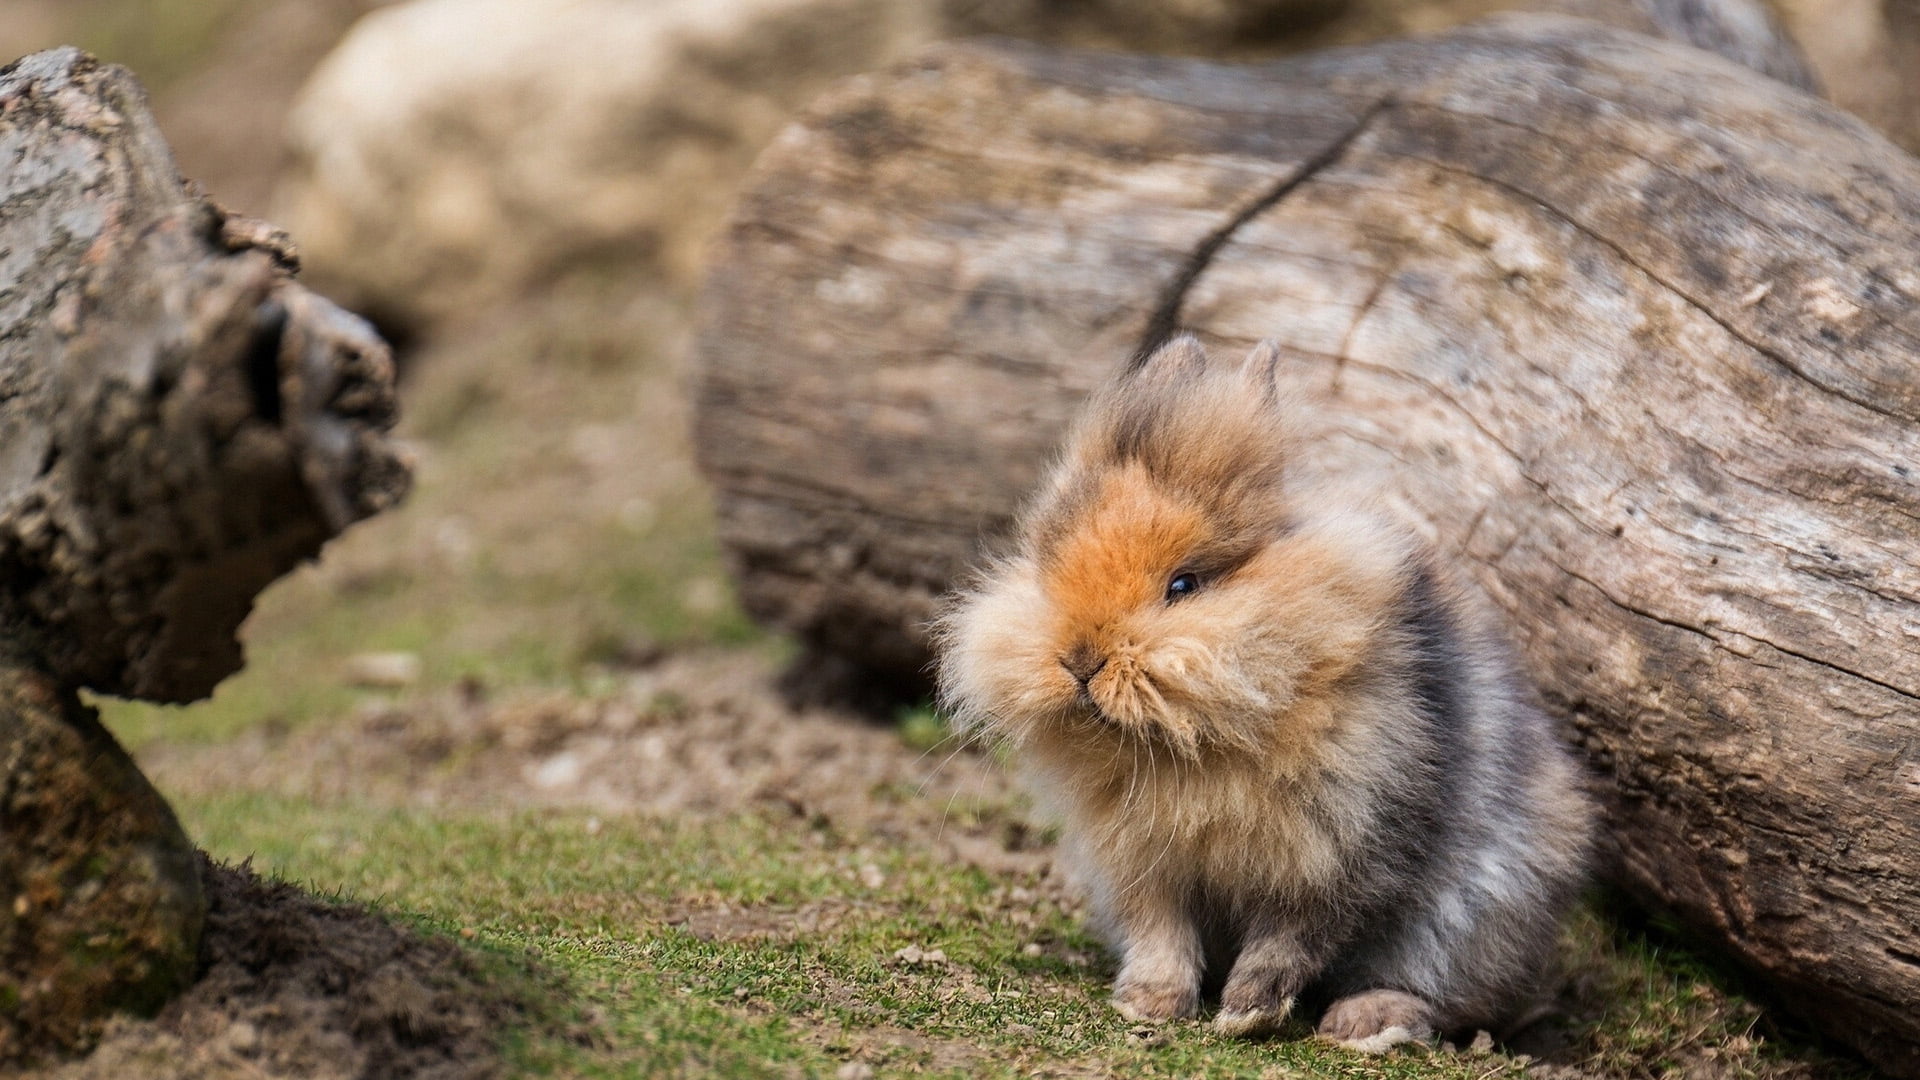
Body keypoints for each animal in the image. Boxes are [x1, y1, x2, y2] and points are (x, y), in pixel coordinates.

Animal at [934, 335, 1593, 1051]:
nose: (1080, 662)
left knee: (1435, 992)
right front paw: (1149, 1005)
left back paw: (1362, 1024)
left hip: (1473, 915)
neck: (1193, 747)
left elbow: (1292, 938)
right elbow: (1160, 931)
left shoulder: (1345, 850)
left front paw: (1245, 1014)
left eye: (1185, 585)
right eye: (1050, 564)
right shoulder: (1144, 865)